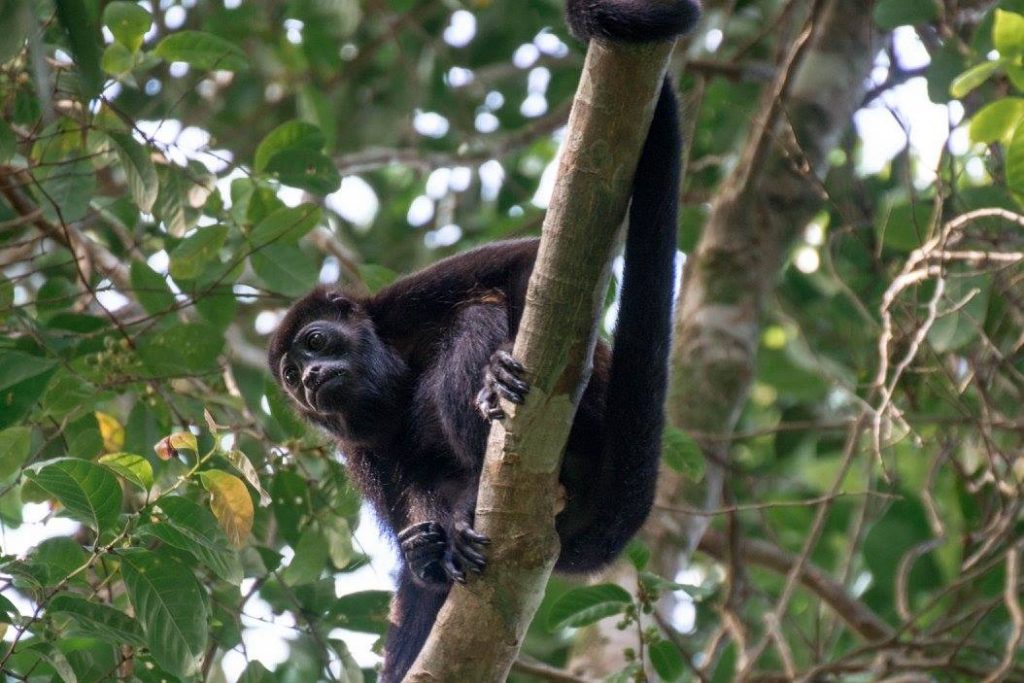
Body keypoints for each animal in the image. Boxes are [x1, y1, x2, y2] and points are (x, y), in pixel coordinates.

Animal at [266, 2, 696, 679]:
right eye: (290, 376)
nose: (308, 378)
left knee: (475, 318)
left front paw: (496, 372)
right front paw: (425, 553)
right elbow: (408, 496)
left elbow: (526, 266)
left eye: (315, 341)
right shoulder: (354, 446)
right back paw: (439, 544)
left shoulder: (401, 300)